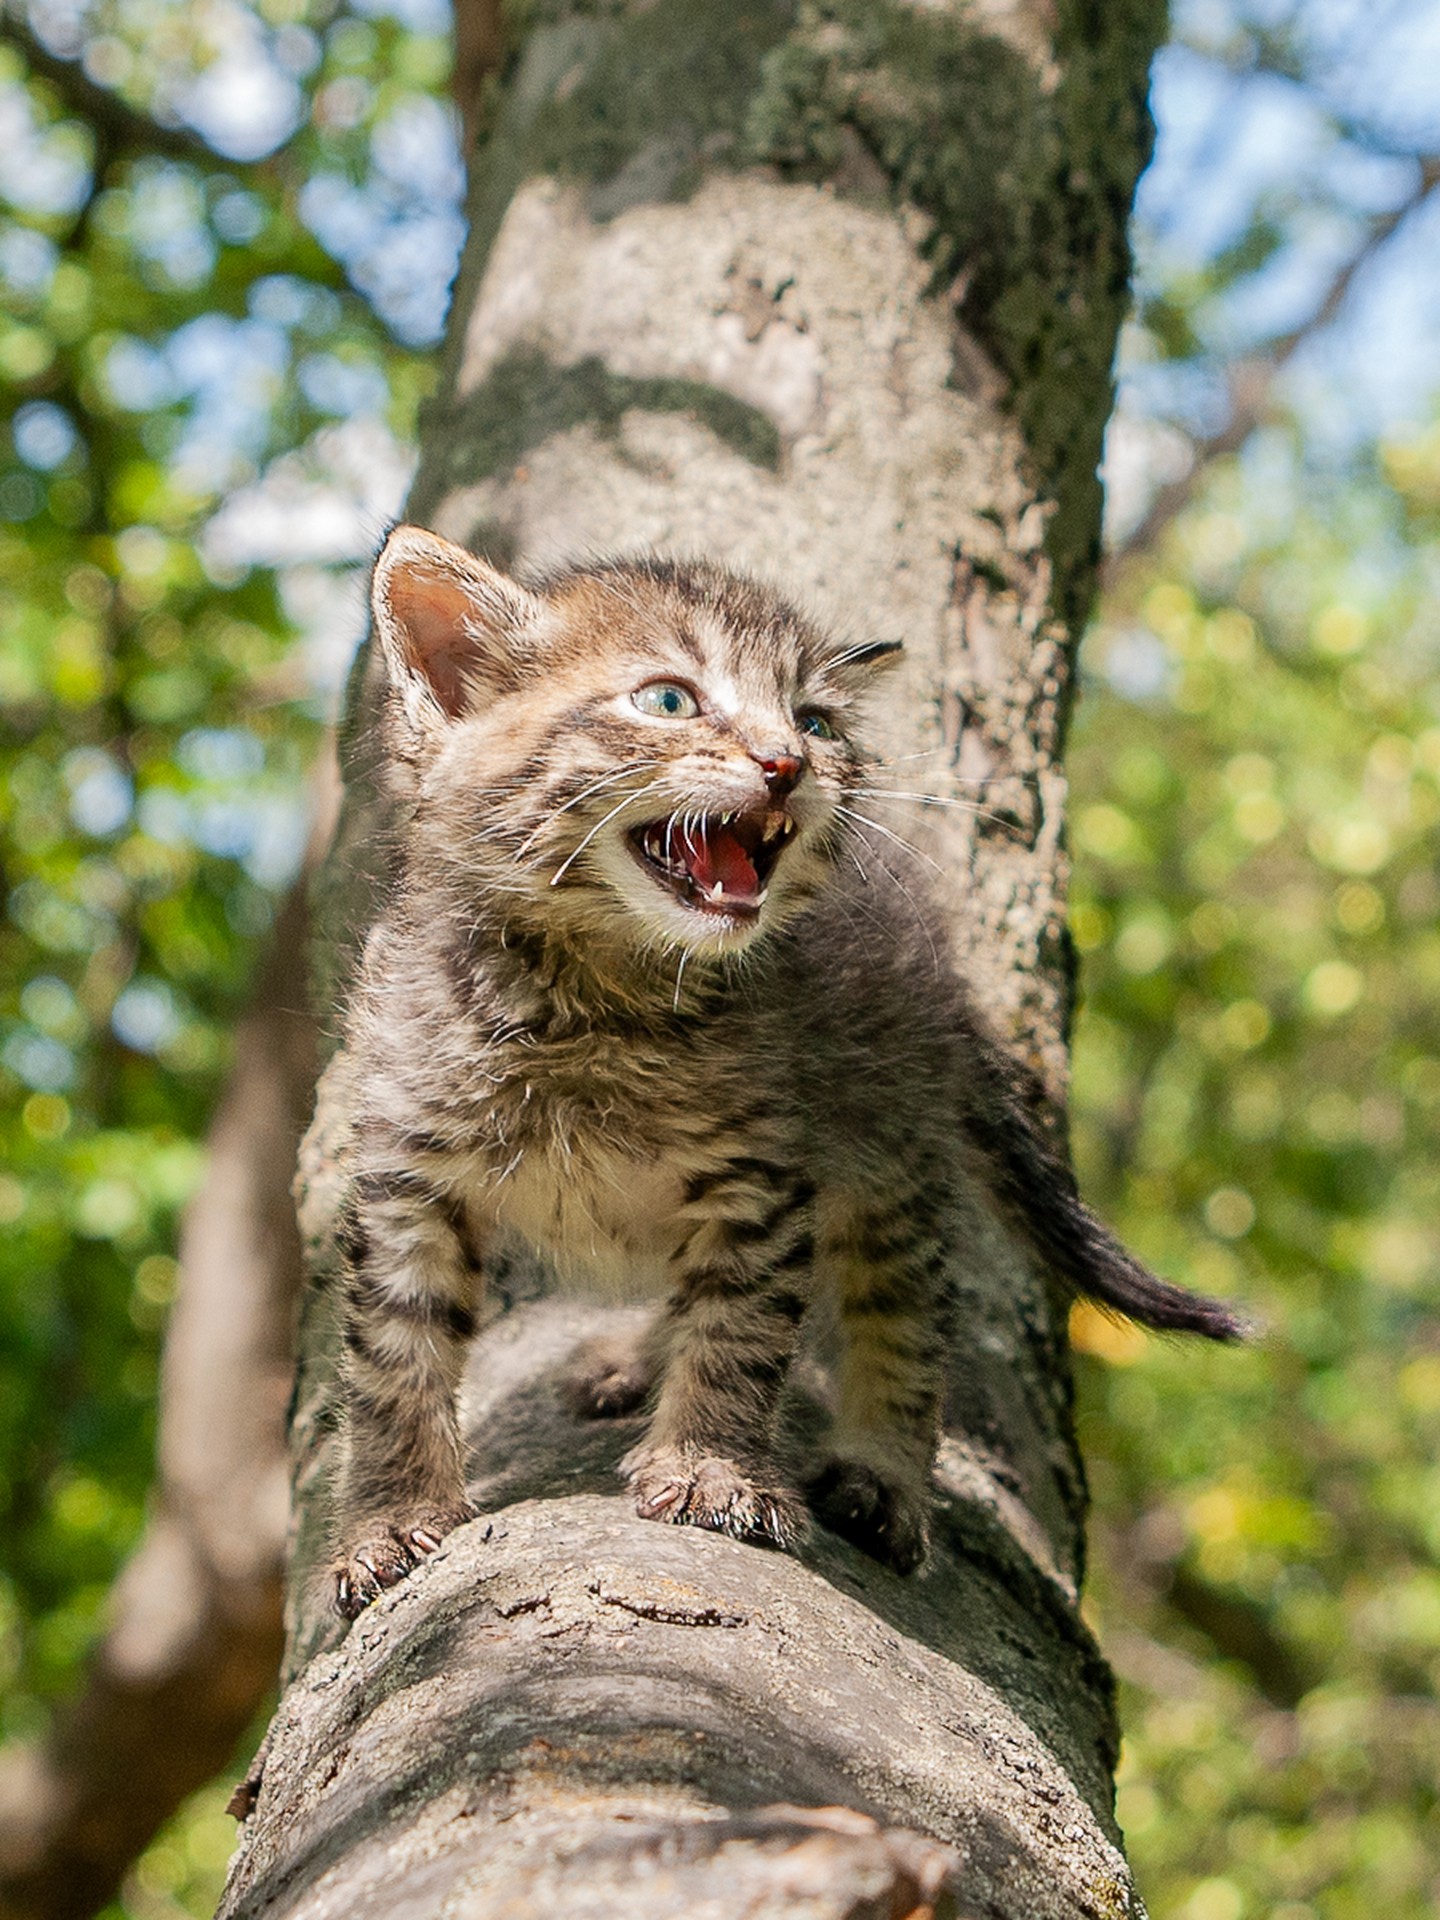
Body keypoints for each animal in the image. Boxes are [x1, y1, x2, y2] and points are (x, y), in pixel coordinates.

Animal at [320, 518, 1244, 1612]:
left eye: (815, 720)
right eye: (668, 700)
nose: (789, 763)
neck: (593, 1000)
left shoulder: (758, 1173)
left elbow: (741, 1329)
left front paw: (712, 1469)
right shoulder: (405, 1174)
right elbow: (392, 1363)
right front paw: (387, 1522)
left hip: (894, 1147)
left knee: (905, 1313)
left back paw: (884, 1473)